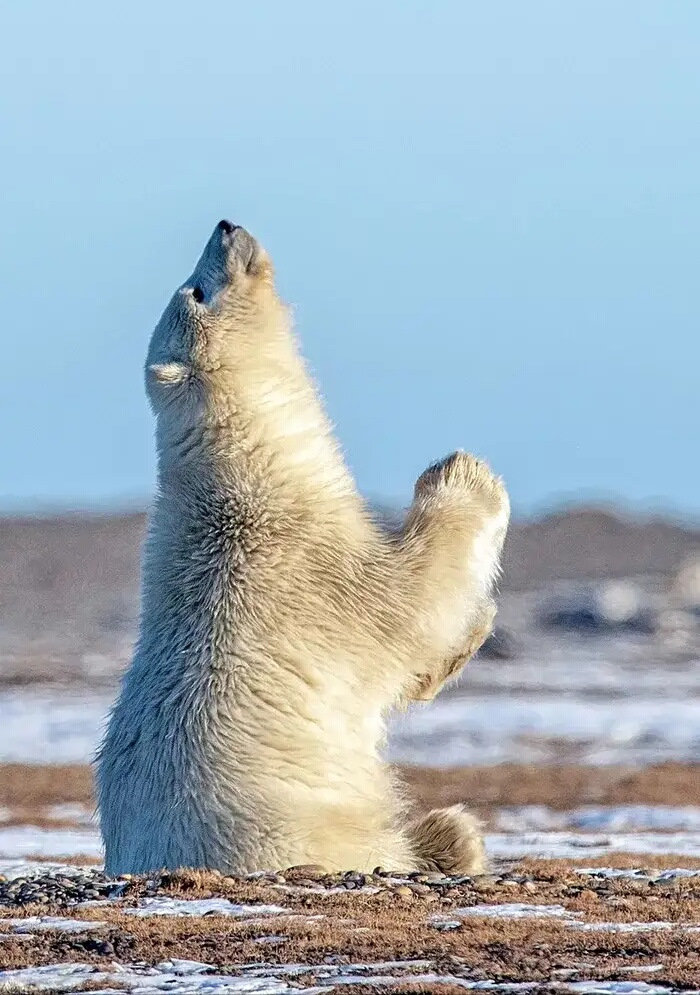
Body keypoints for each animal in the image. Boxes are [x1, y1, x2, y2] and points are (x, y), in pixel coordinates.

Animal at [94, 222, 508, 876]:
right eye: (198, 290)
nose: (226, 226)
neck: (248, 473)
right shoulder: (309, 564)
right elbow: (414, 597)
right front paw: (466, 473)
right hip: (300, 827)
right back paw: (450, 836)